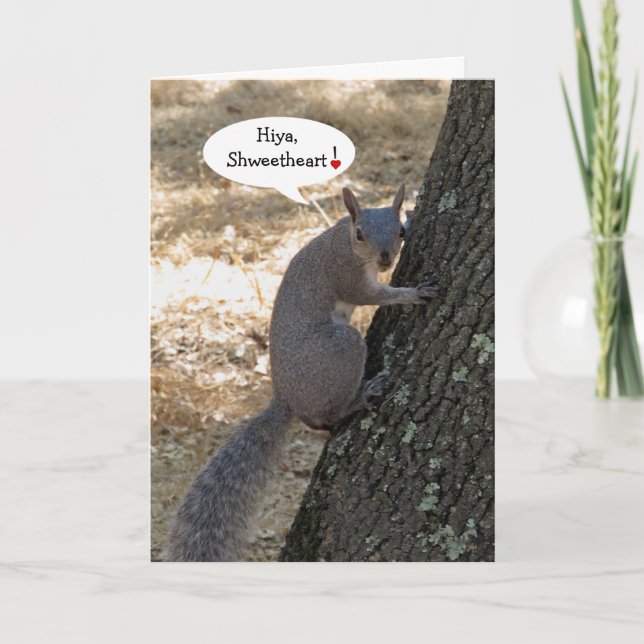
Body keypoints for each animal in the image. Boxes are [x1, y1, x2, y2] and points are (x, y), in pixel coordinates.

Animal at [166, 183, 440, 561]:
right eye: (360, 234)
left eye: (398, 232)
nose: (385, 259)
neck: (342, 239)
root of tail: (287, 398)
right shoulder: (345, 273)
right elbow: (371, 294)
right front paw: (411, 294)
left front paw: (412, 213)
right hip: (341, 350)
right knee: (328, 415)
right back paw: (361, 396)